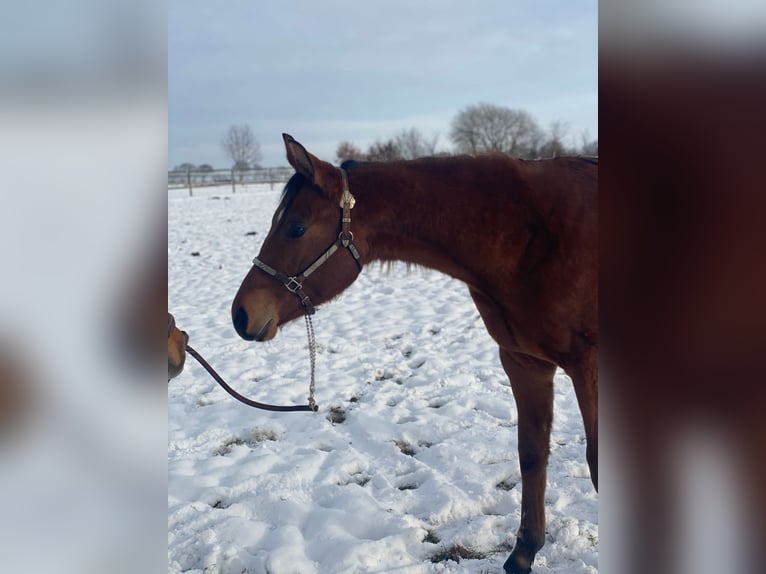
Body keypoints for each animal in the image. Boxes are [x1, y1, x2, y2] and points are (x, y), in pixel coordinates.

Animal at [231, 134, 597, 573]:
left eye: (296, 228)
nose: (240, 314)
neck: (531, 237)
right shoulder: (524, 363)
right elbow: (531, 453)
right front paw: (523, 553)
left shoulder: (590, 369)